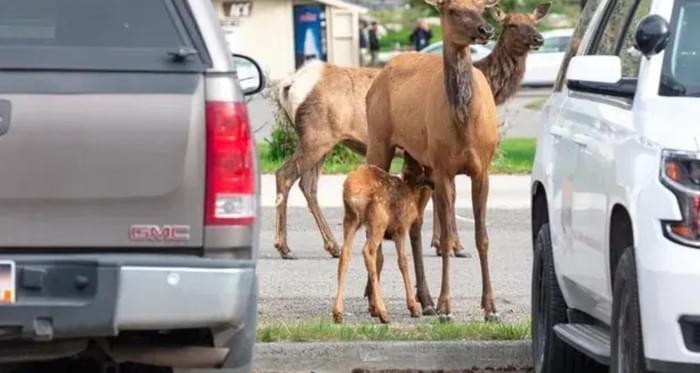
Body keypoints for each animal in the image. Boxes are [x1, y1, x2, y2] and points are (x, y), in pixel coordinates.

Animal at [330, 163, 432, 322]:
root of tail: (351, 190)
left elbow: (380, 261)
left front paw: (373, 308)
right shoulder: (400, 228)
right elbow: (403, 262)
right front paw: (413, 307)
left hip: (351, 219)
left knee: (346, 253)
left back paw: (338, 312)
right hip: (379, 218)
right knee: (367, 251)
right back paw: (383, 312)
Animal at [364, 0, 500, 318]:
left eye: (481, 7)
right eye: (452, 10)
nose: (485, 30)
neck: (465, 123)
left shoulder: (481, 170)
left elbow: (483, 237)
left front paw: (490, 305)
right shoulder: (443, 169)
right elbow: (447, 238)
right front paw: (445, 305)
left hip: (417, 162)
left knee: (414, 224)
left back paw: (423, 299)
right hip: (380, 141)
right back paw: (374, 300)